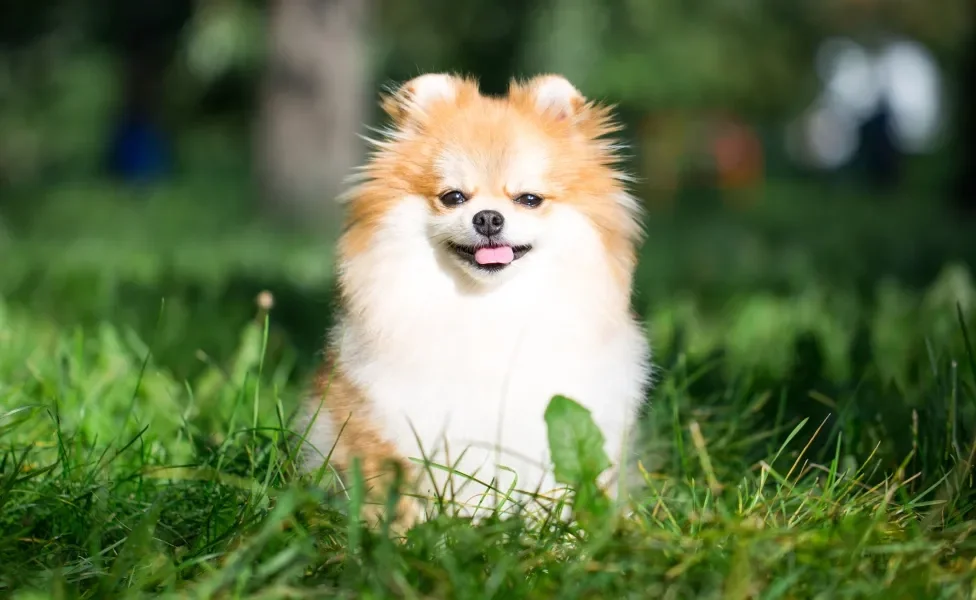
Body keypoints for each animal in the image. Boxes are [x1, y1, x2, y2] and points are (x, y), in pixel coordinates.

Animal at [298, 71, 648, 528]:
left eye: (529, 199)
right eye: (454, 197)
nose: (488, 218)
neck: (488, 308)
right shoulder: (387, 426)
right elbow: (400, 497)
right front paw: (408, 536)